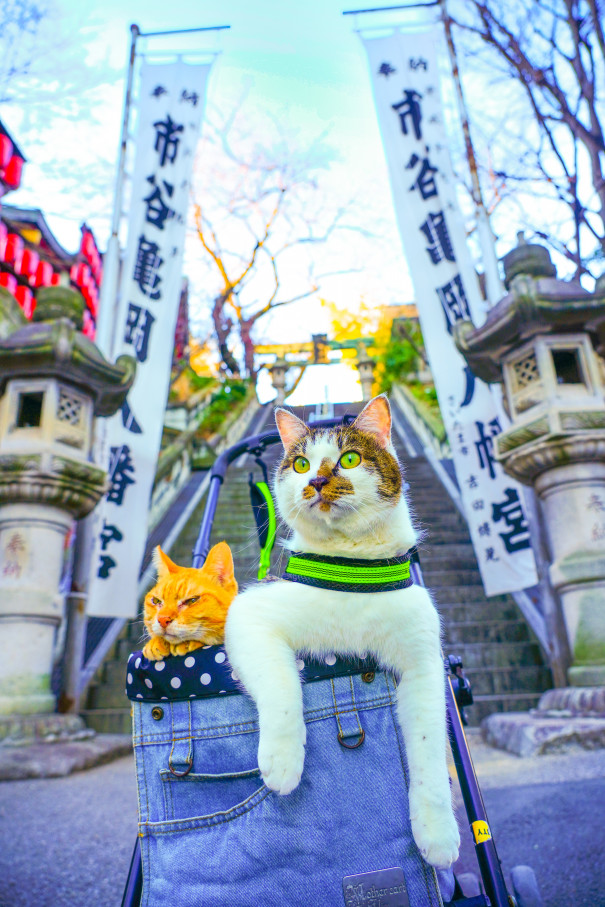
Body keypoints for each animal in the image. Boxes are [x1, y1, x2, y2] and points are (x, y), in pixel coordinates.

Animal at [224, 394, 460, 868]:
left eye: (349, 459)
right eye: (300, 464)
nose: (316, 480)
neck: (352, 570)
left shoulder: (424, 663)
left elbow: (428, 746)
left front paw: (438, 836)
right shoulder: (250, 614)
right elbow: (281, 685)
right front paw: (282, 761)